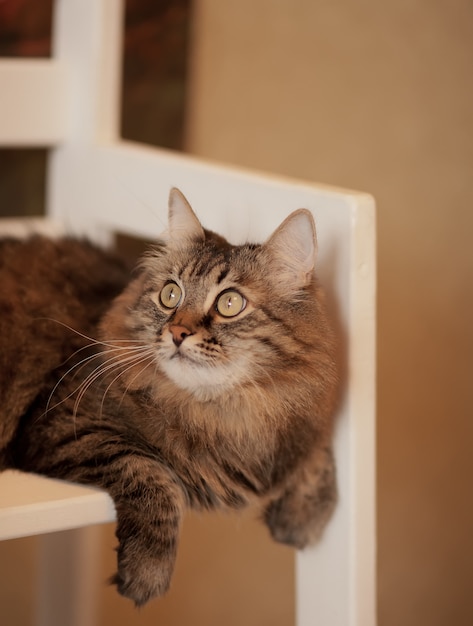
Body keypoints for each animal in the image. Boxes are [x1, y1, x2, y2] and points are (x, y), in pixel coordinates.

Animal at [0, 188, 340, 604]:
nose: (177, 333)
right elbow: (152, 477)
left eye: (229, 303)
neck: (219, 415)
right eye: (170, 294)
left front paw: (304, 518)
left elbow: (316, 450)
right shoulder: (66, 425)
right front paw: (147, 574)